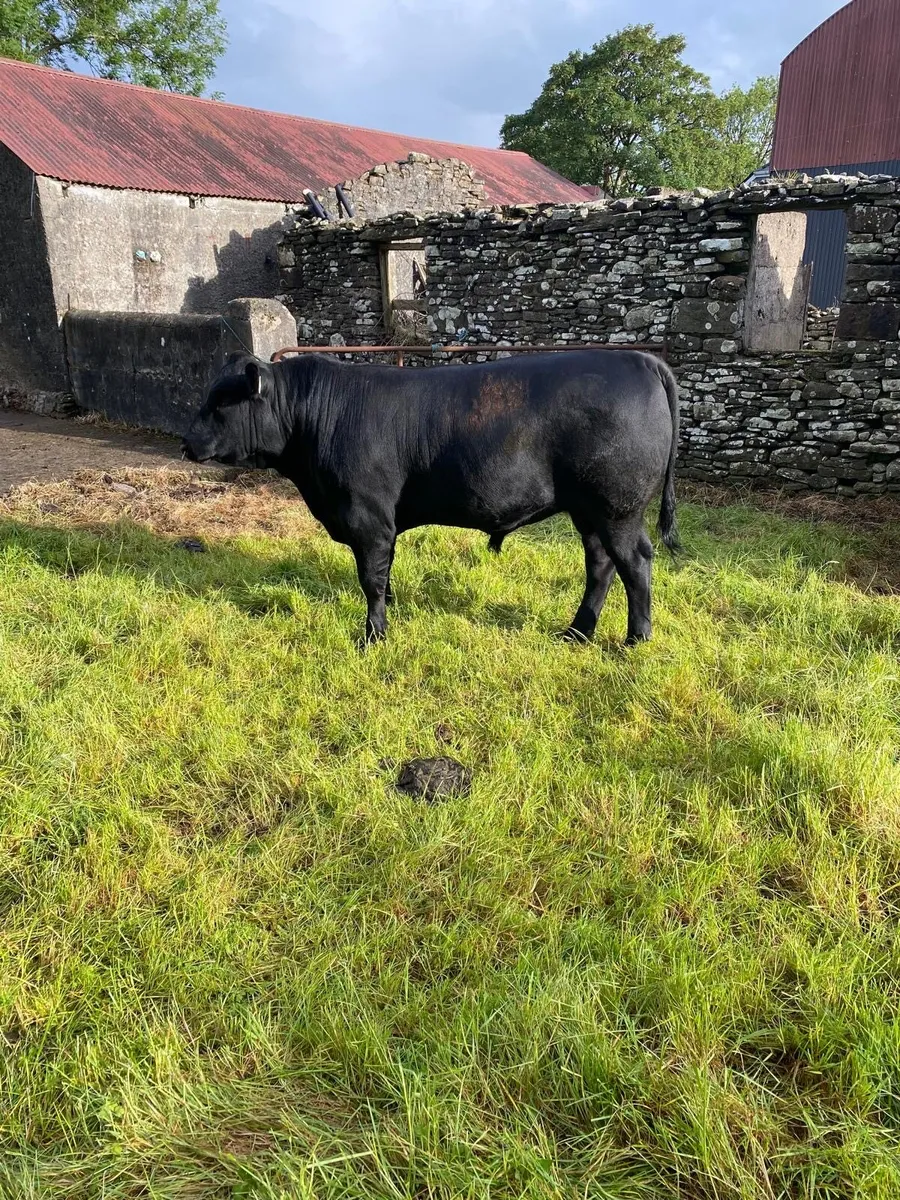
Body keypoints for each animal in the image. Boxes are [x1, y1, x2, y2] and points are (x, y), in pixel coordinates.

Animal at [182, 349, 680, 645]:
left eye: (221, 402)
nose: (186, 442)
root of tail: (638, 358)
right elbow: (384, 574)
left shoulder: (368, 517)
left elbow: (370, 579)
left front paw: (373, 636)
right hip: (589, 510)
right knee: (600, 565)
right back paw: (577, 632)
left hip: (618, 507)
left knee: (634, 562)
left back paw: (635, 640)